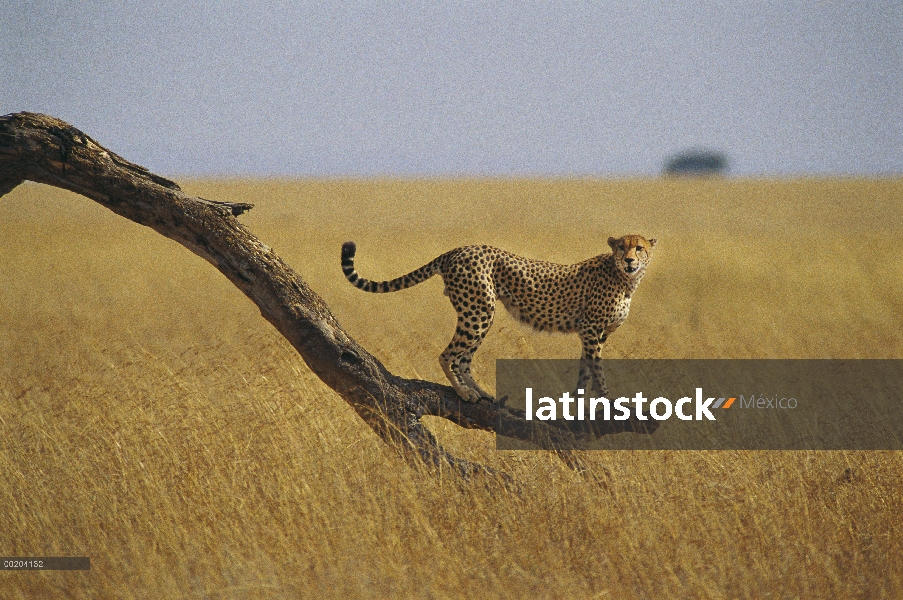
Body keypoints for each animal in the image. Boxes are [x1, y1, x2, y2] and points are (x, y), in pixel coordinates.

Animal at [340, 236, 656, 404]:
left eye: (639, 248)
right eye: (622, 248)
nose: (630, 260)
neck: (626, 279)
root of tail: (457, 249)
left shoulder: (594, 333)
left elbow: (585, 370)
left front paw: (580, 404)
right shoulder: (591, 329)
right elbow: (597, 369)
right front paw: (609, 401)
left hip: (479, 313)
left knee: (464, 359)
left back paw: (481, 392)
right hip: (479, 310)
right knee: (448, 355)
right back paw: (464, 393)